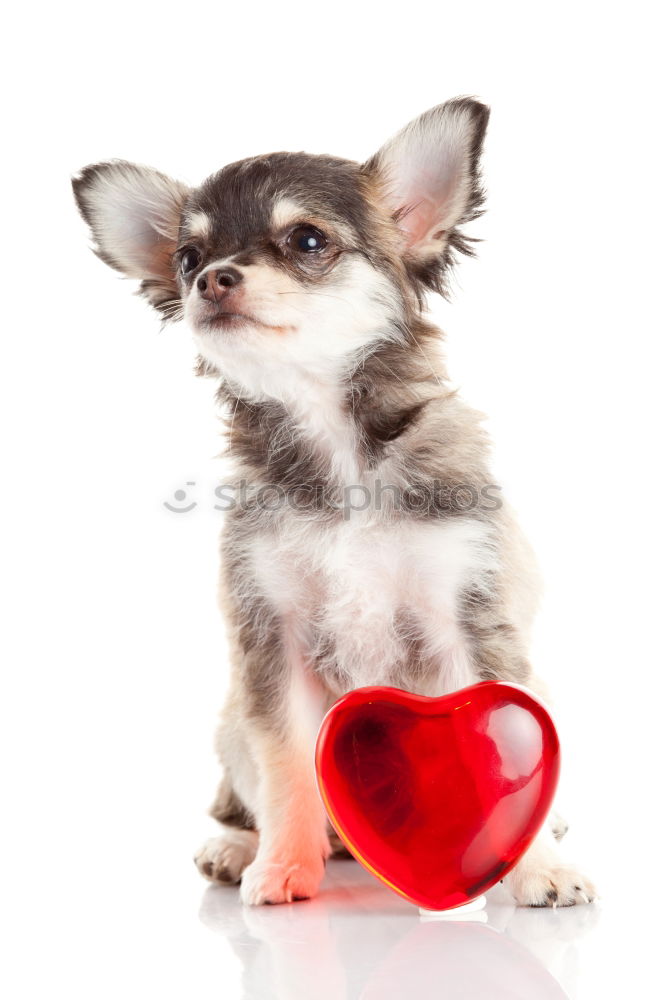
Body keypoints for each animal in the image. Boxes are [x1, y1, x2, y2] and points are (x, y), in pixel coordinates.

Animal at [75, 99, 592, 908]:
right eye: (186, 259)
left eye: (307, 241)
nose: (211, 279)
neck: (335, 445)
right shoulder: (272, 641)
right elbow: (286, 767)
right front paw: (284, 865)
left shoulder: (470, 618)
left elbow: (508, 751)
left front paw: (538, 867)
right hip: (231, 721)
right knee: (247, 791)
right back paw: (242, 848)